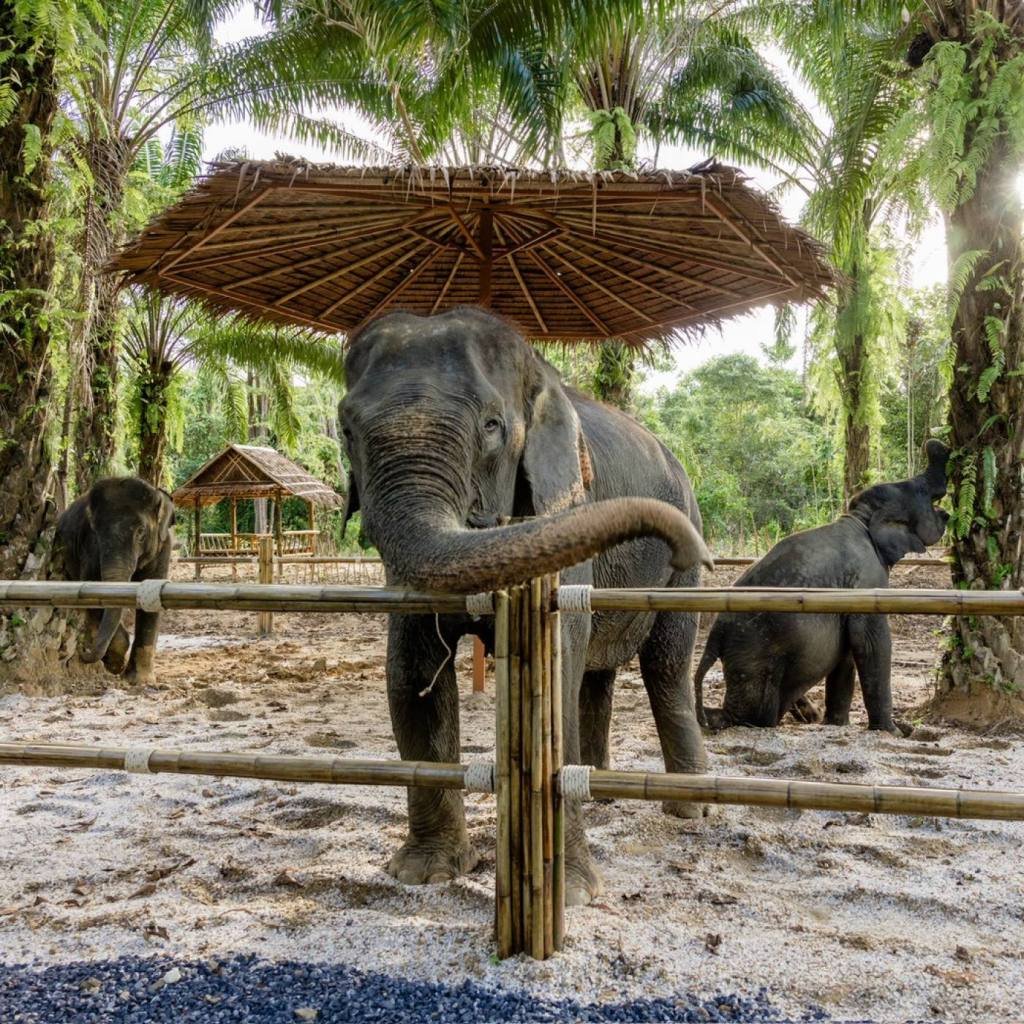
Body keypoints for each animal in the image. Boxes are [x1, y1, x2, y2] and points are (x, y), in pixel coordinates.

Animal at [54, 477, 176, 685]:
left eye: (141, 532)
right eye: (96, 533)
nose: (82, 651)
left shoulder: (163, 546)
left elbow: (151, 602)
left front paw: (139, 680)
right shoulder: (89, 550)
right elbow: (94, 596)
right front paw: (115, 664)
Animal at [340, 306, 713, 906]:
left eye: (492, 426)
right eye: (346, 430)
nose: (686, 545)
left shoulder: (563, 505)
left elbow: (555, 656)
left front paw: (571, 893)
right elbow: (411, 668)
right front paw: (424, 874)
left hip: (684, 562)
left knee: (665, 666)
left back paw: (688, 811)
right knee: (596, 674)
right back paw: (602, 795)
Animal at [694, 440, 951, 733]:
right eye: (920, 489)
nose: (937, 443)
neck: (860, 518)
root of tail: (714, 636)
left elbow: (847, 652)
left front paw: (837, 724)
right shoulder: (868, 579)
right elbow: (871, 641)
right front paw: (893, 731)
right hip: (753, 653)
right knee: (755, 711)